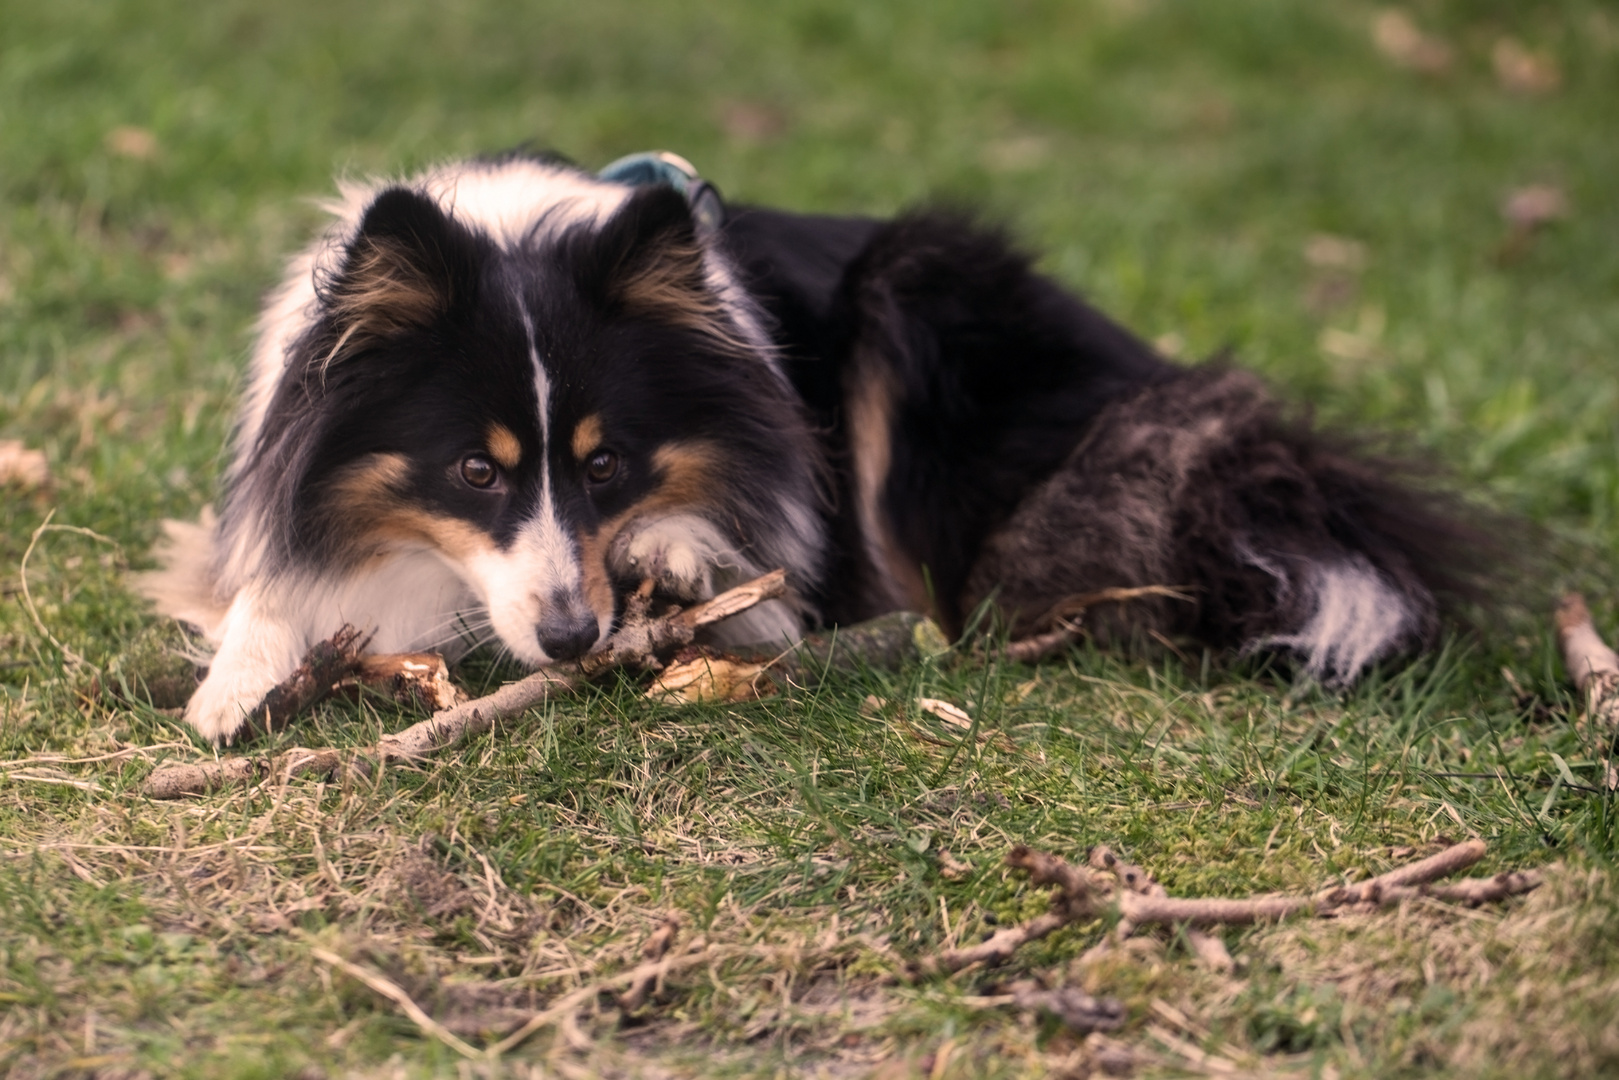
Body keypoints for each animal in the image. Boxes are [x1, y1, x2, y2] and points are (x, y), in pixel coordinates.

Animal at [142, 149, 1483, 744]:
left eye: (606, 465)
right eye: (475, 471)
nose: (570, 642)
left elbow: (744, 575)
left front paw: (682, 559)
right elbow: (268, 588)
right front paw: (233, 688)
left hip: (919, 288)